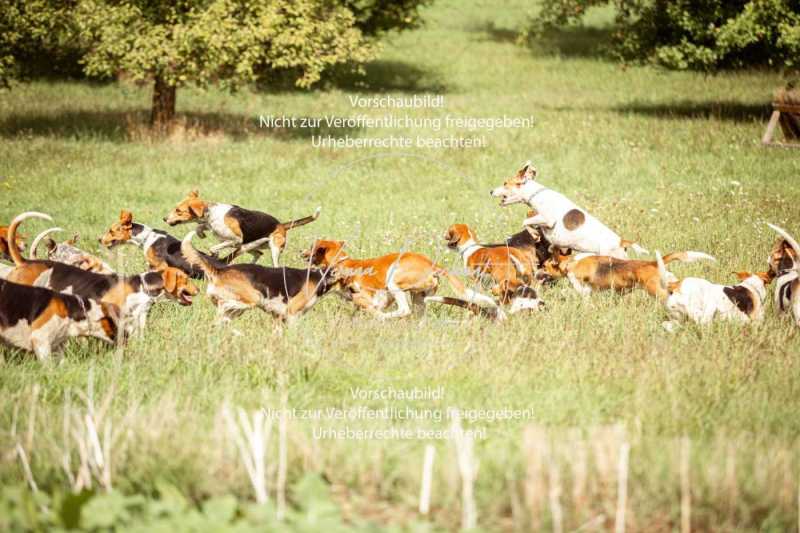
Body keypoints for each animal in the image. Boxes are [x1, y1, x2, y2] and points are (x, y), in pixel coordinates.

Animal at [490, 161, 648, 258]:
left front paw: (534, 234)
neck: (536, 193)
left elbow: (526, 221)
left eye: (505, 183)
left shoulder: (548, 220)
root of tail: (622, 242)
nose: (491, 191)